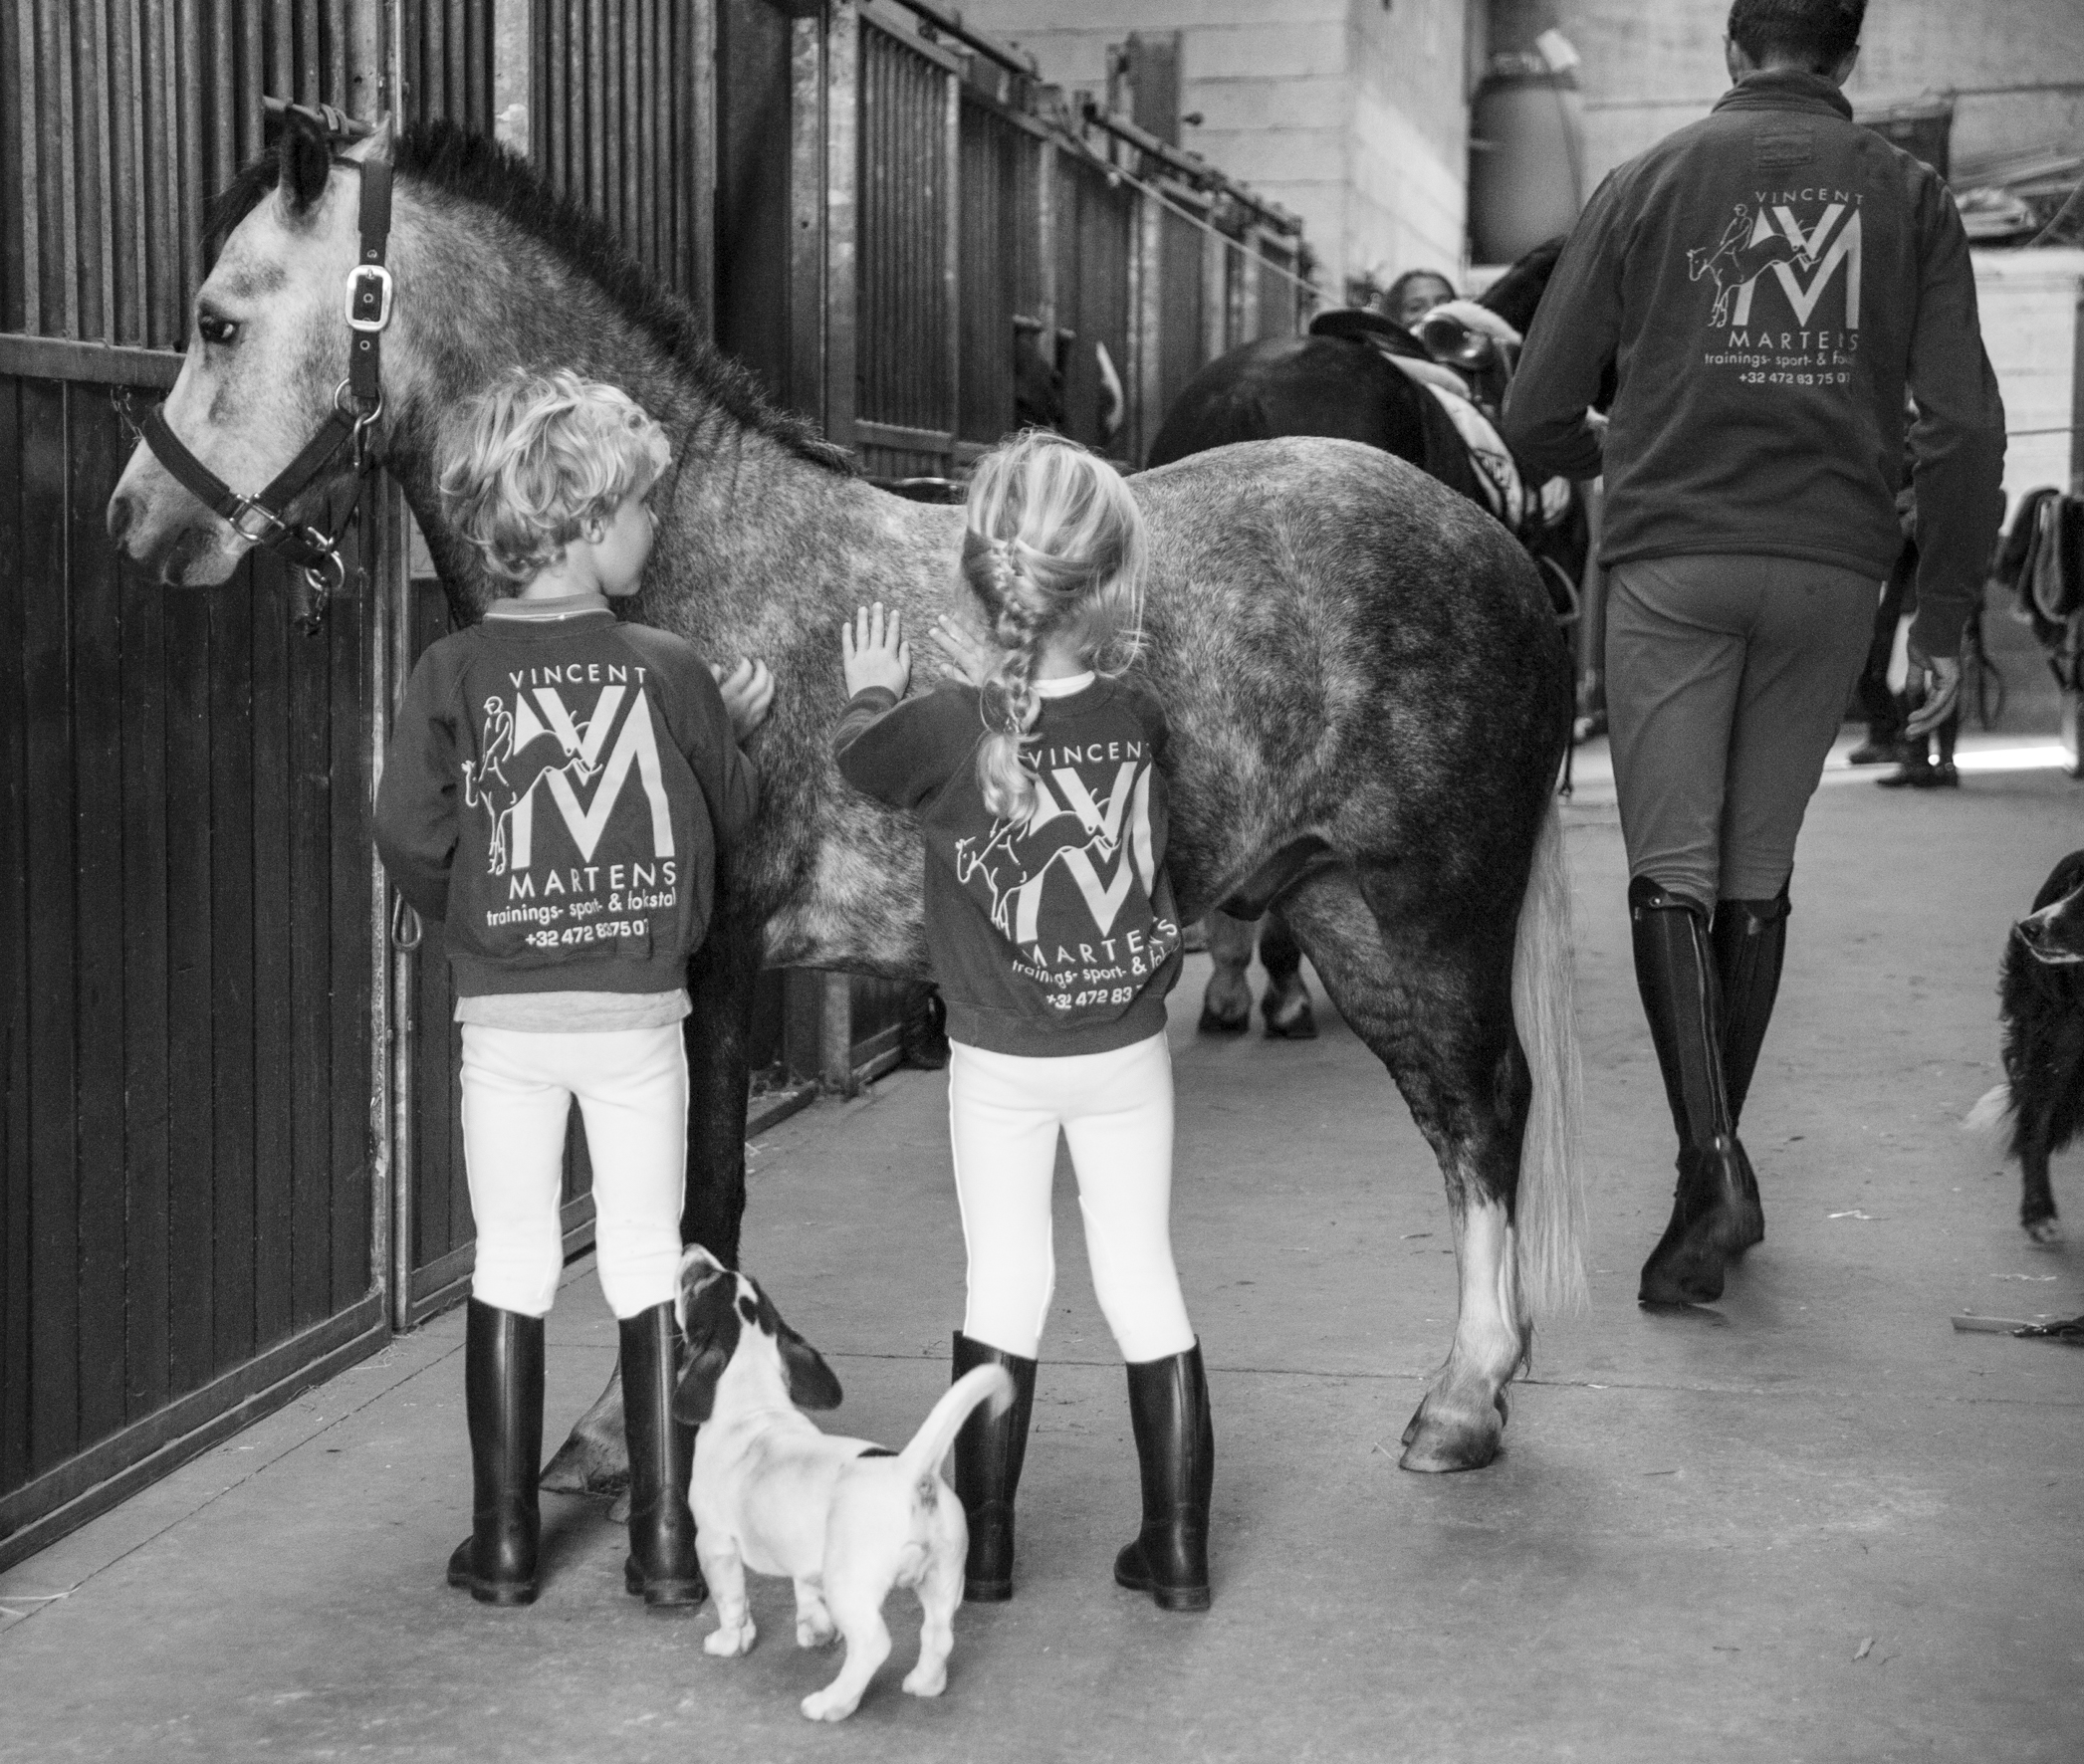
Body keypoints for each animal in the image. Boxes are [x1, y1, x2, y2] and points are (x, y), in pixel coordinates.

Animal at [670, 1240, 1013, 1724]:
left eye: (696, 1286)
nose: (692, 1248)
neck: (753, 1403)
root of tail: (911, 1471)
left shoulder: (714, 1544)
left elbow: (732, 1603)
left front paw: (729, 1642)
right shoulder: (805, 1557)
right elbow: (806, 1592)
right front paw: (815, 1632)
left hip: (851, 1585)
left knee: (874, 1645)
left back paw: (833, 1702)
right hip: (945, 1577)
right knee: (939, 1633)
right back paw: (925, 1683)